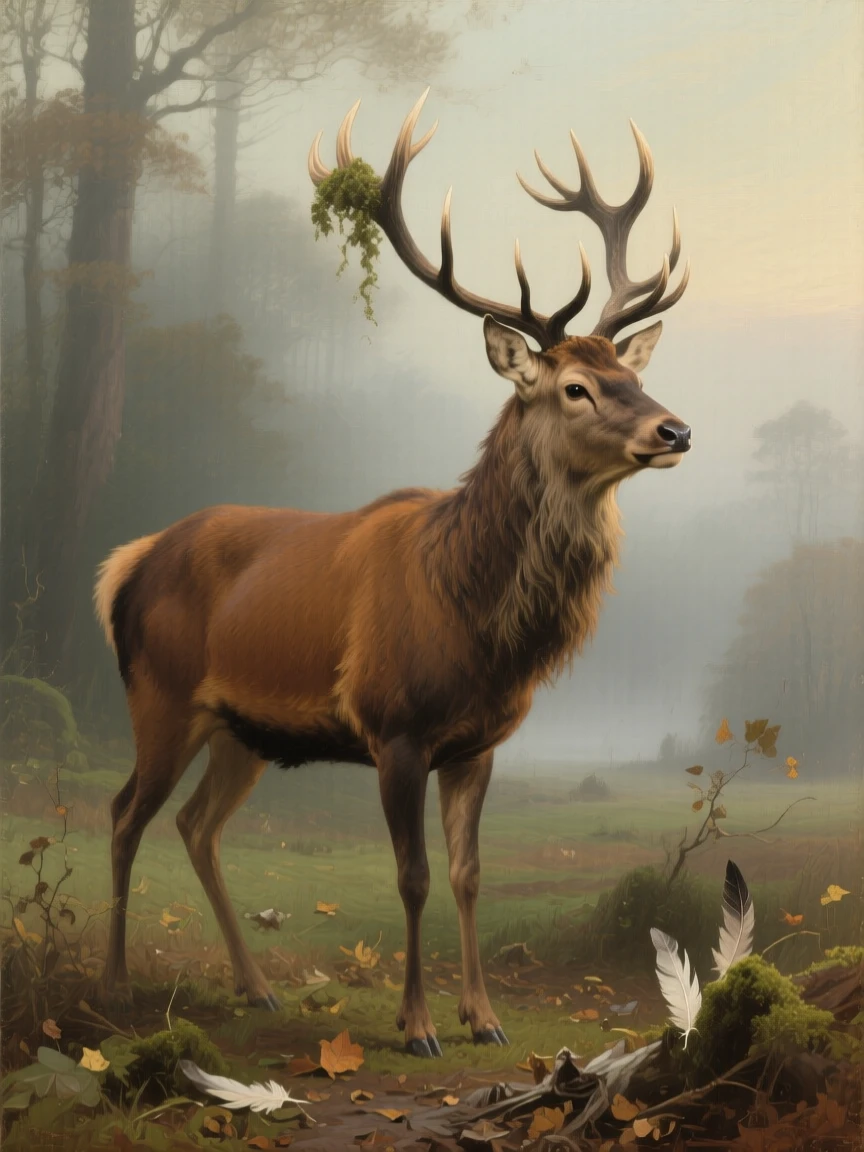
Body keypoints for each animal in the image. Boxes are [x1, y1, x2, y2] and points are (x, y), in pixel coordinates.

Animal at [95, 90, 691, 1057]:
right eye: (573, 388)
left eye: (629, 374)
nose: (675, 429)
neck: (476, 619)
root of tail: (127, 564)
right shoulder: (395, 726)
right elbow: (411, 875)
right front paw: (416, 1025)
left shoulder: (479, 743)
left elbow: (469, 872)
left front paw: (484, 1016)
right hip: (160, 695)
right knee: (123, 813)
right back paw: (114, 983)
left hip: (239, 729)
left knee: (195, 825)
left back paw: (257, 986)